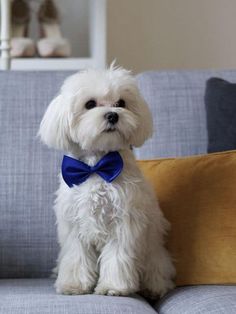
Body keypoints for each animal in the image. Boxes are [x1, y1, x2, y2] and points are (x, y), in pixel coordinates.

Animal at [38, 64, 175, 296]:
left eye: (121, 103)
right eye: (90, 104)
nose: (113, 115)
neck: (96, 167)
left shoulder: (124, 220)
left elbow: (117, 257)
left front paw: (114, 287)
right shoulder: (74, 224)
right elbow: (76, 256)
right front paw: (74, 285)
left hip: (153, 251)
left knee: (156, 269)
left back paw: (154, 287)